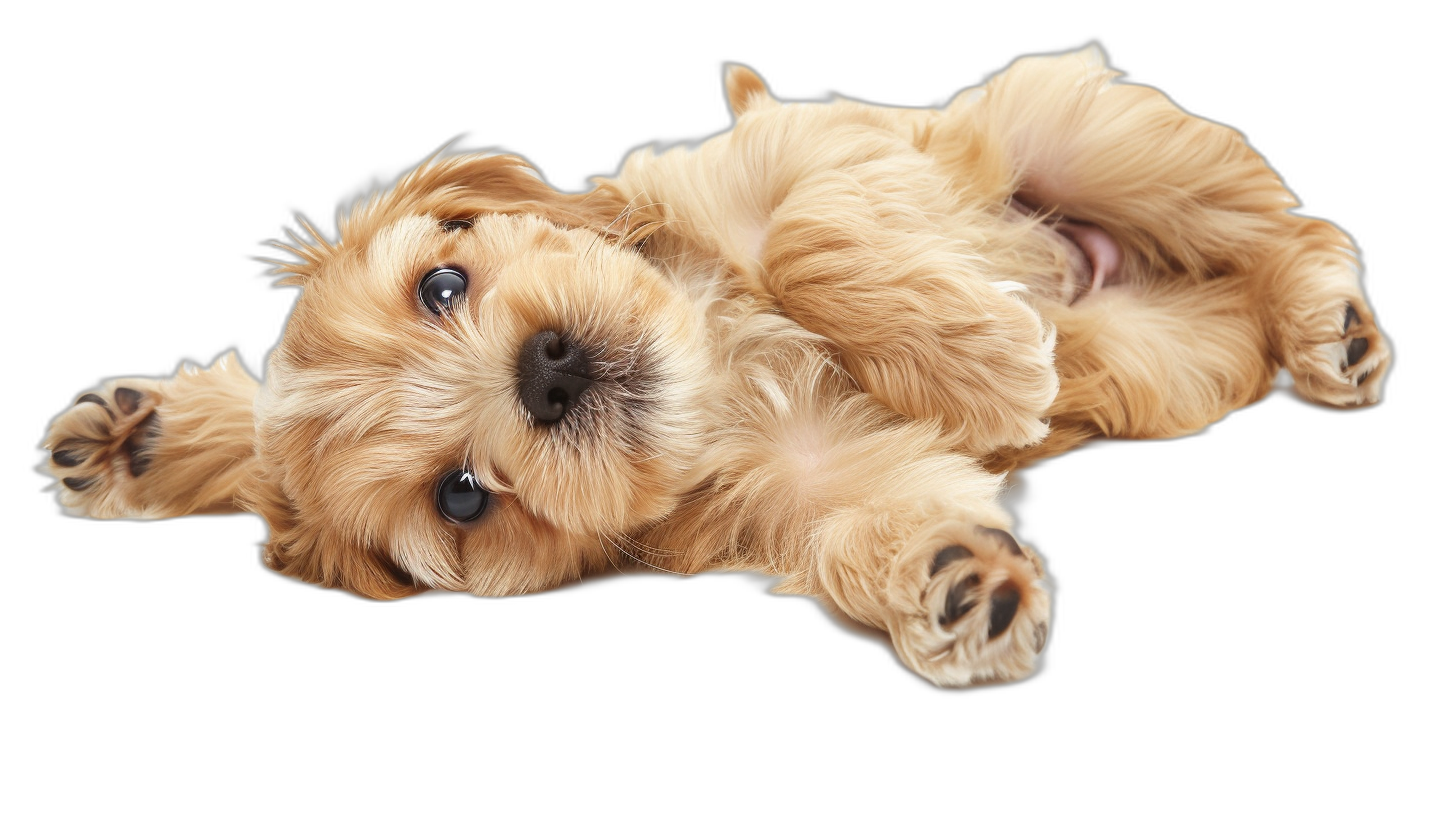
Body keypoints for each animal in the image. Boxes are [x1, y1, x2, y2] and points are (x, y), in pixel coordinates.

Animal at [39, 46, 1391, 687]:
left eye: (443, 284)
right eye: (461, 498)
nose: (548, 372)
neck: (723, 367)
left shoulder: (802, 142)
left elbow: (804, 229)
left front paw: (985, 358)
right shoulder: (820, 493)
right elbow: (880, 522)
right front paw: (956, 577)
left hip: (1073, 124)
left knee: (1286, 224)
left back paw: (1331, 325)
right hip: (1175, 349)